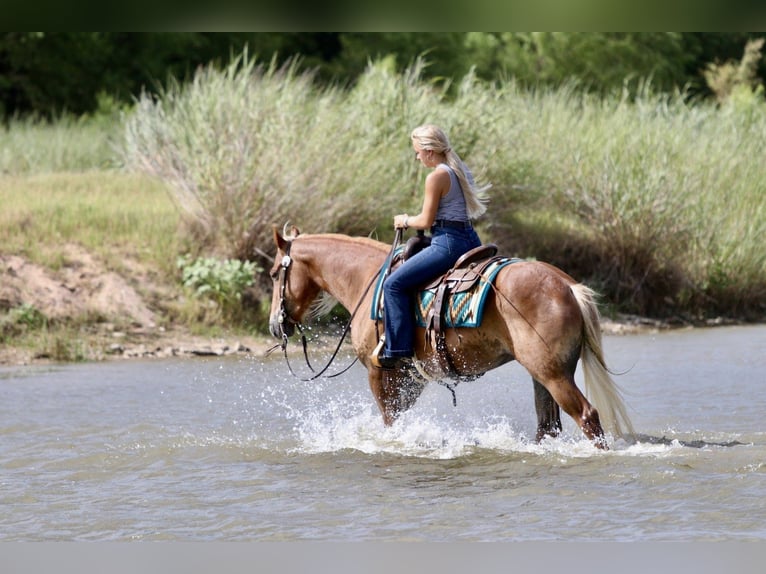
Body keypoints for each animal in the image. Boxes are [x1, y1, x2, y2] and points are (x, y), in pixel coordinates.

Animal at [268, 226, 634, 449]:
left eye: (274, 274)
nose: (275, 326)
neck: (368, 280)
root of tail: (568, 287)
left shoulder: (380, 371)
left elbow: (390, 421)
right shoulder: (410, 377)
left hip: (554, 375)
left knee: (587, 416)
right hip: (542, 374)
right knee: (548, 425)